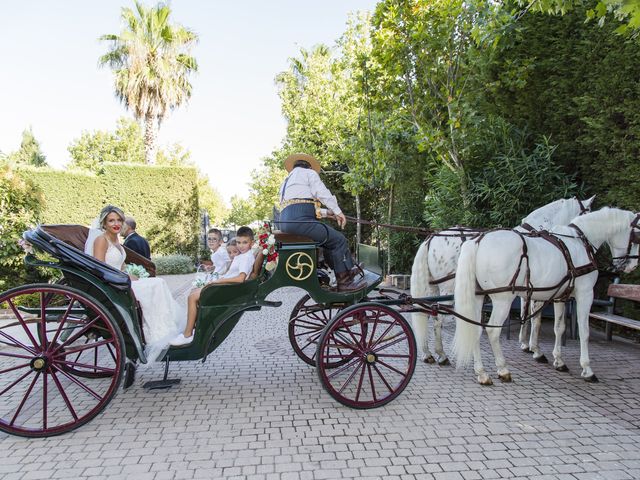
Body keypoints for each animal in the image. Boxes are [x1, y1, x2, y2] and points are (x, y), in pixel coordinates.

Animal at [410, 195, 596, 364]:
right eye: (588, 211)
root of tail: (432, 238)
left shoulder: (527, 290)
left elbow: (525, 315)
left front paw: (526, 344)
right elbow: (536, 320)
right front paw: (536, 350)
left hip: (433, 288)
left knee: (426, 313)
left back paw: (428, 353)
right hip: (447, 289)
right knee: (438, 319)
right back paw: (441, 354)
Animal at [452, 207, 636, 386]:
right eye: (637, 237)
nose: (632, 266)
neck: (579, 242)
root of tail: (478, 241)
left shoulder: (560, 297)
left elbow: (559, 327)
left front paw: (559, 361)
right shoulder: (585, 294)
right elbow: (584, 332)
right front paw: (587, 369)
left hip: (478, 298)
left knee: (475, 329)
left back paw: (482, 373)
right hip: (503, 299)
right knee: (492, 331)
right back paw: (503, 370)